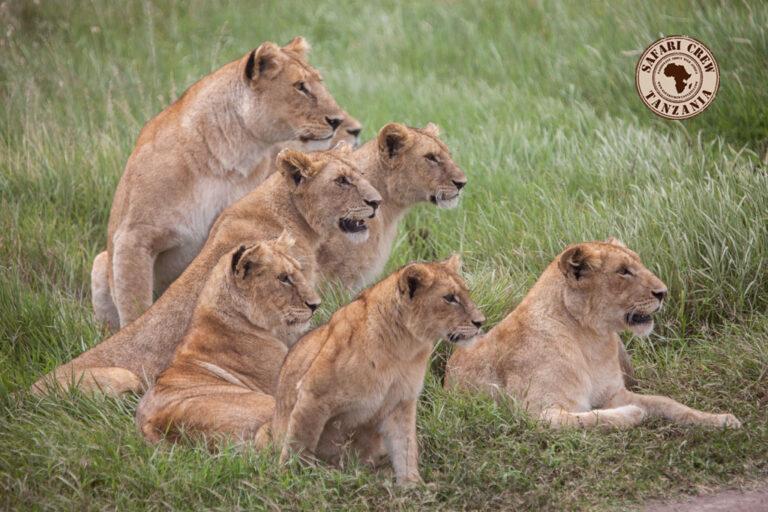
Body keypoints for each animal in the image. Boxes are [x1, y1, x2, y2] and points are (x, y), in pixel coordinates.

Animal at [32, 145, 381, 396]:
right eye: (342, 181)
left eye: (361, 175)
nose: (377, 202)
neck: (295, 218)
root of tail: (25, 394)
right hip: (124, 376)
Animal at [91, 36, 348, 330]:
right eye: (300, 87)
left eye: (319, 82)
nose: (338, 120)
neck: (231, 156)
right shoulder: (133, 236)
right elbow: (136, 305)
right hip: (101, 262)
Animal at [271, 255, 485, 485]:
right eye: (449, 298)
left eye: (467, 292)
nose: (481, 322)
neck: (404, 348)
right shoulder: (312, 395)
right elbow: (300, 444)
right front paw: (292, 479)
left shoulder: (400, 403)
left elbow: (405, 447)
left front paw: (412, 484)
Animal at [445, 238, 741, 429]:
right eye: (623, 271)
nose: (663, 292)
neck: (591, 339)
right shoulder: (538, 413)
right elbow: (594, 417)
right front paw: (634, 413)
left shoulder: (614, 394)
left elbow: (668, 402)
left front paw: (720, 419)